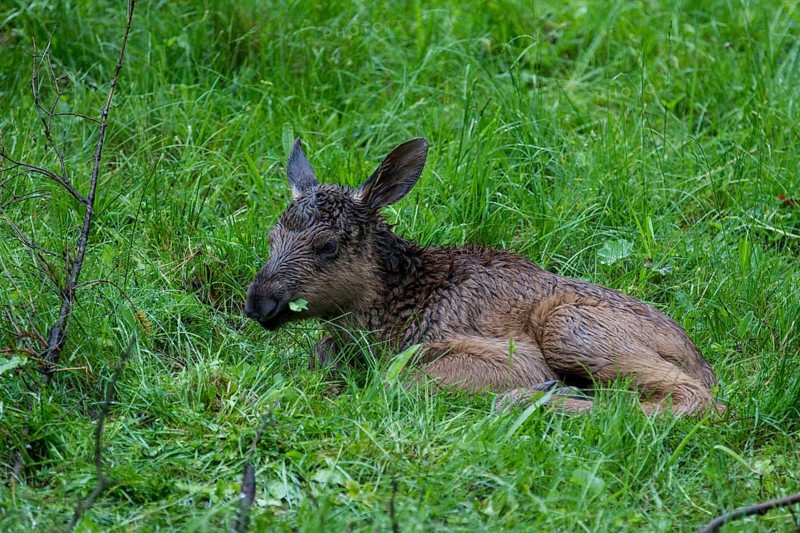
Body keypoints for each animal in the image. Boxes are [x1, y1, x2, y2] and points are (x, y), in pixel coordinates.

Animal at [244, 137, 725, 415]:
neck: (387, 313)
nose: (259, 302)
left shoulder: (508, 354)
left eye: (327, 245)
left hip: (566, 325)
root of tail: (702, 363)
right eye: (270, 235)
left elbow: (397, 382)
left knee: (697, 401)